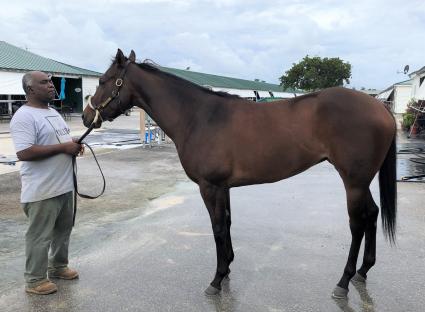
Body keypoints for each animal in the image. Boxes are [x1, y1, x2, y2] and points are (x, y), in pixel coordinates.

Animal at [81, 49, 396, 300]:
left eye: (103, 81)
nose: (86, 117)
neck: (199, 117)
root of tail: (380, 107)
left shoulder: (210, 187)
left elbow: (218, 228)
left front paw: (216, 279)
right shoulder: (224, 187)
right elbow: (228, 223)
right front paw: (228, 267)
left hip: (353, 182)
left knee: (357, 223)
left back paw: (343, 281)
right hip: (361, 182)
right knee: (372, 214)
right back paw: (363, 271)